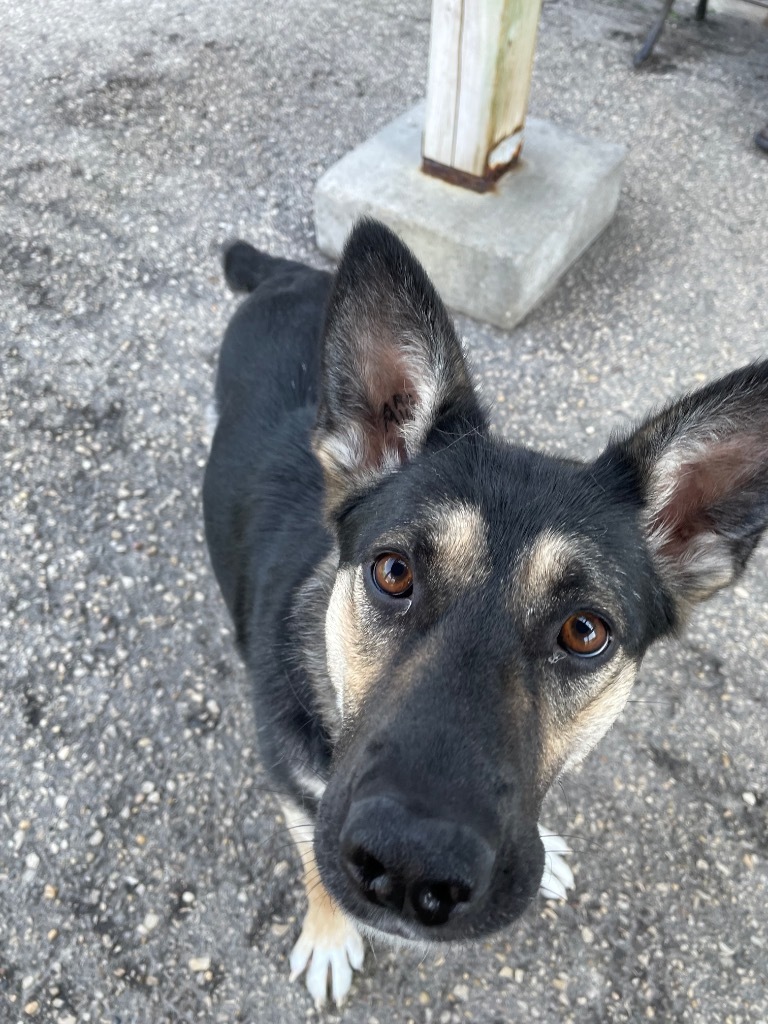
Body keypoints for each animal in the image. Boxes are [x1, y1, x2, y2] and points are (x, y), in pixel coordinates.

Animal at [204, 218, 768, 1007]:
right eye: (394, 572)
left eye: (585, 631)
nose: (412, 866)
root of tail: (283, 275)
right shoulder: (294, 788)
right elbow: (313, 864)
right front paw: (329, 933)